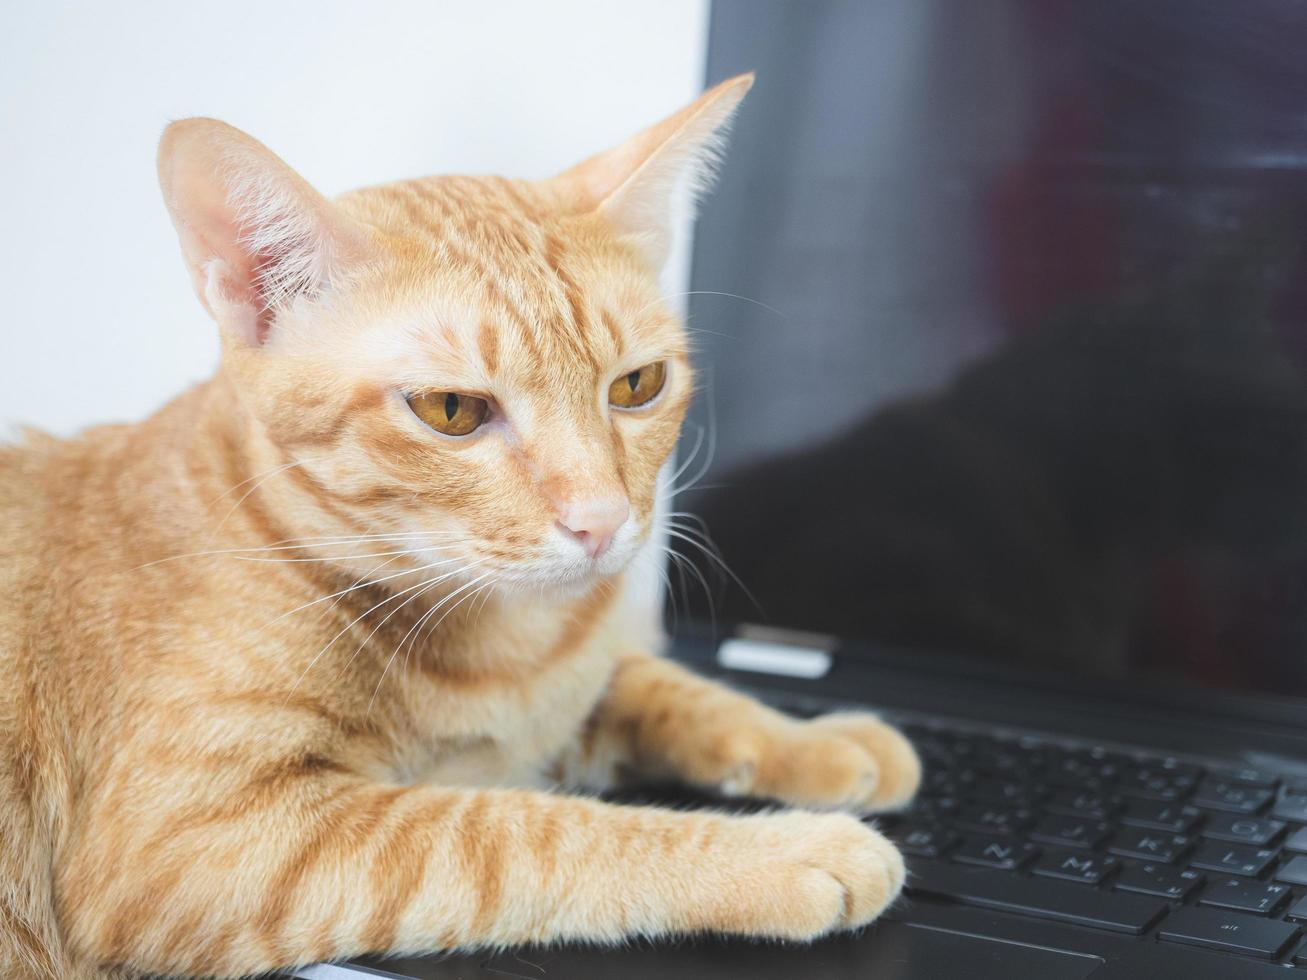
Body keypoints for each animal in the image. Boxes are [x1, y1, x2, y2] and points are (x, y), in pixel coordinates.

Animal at [0, 72, 920, 977]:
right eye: (452, 410)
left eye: (637, 387)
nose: (602, 520)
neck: (501, 652)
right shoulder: (190, 845)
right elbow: (521, 831)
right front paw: (780, 853)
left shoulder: (560, 693)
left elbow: (660, 683)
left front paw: (821, 741)